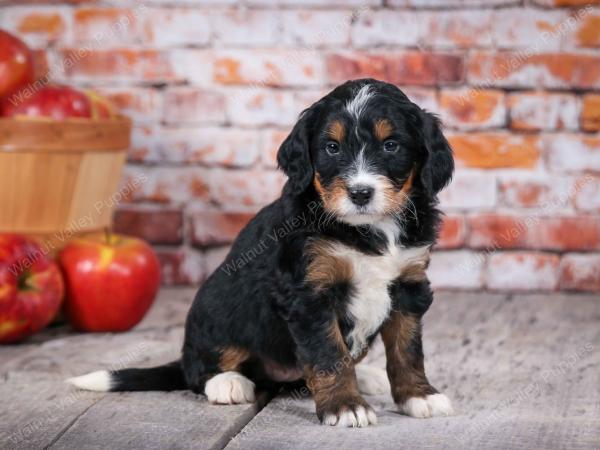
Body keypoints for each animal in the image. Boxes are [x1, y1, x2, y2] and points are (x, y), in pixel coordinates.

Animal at [68, 79, 454, 428]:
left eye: (391, 146)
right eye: (331, 148)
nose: (360, 193)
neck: (368, 229)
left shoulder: (409, 283)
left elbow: (407, 349)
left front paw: (419, 396)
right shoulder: (309, 292)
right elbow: (329, 354)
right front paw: (346, 407)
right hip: (215, 306)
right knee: (198, 368)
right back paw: (227, 383)